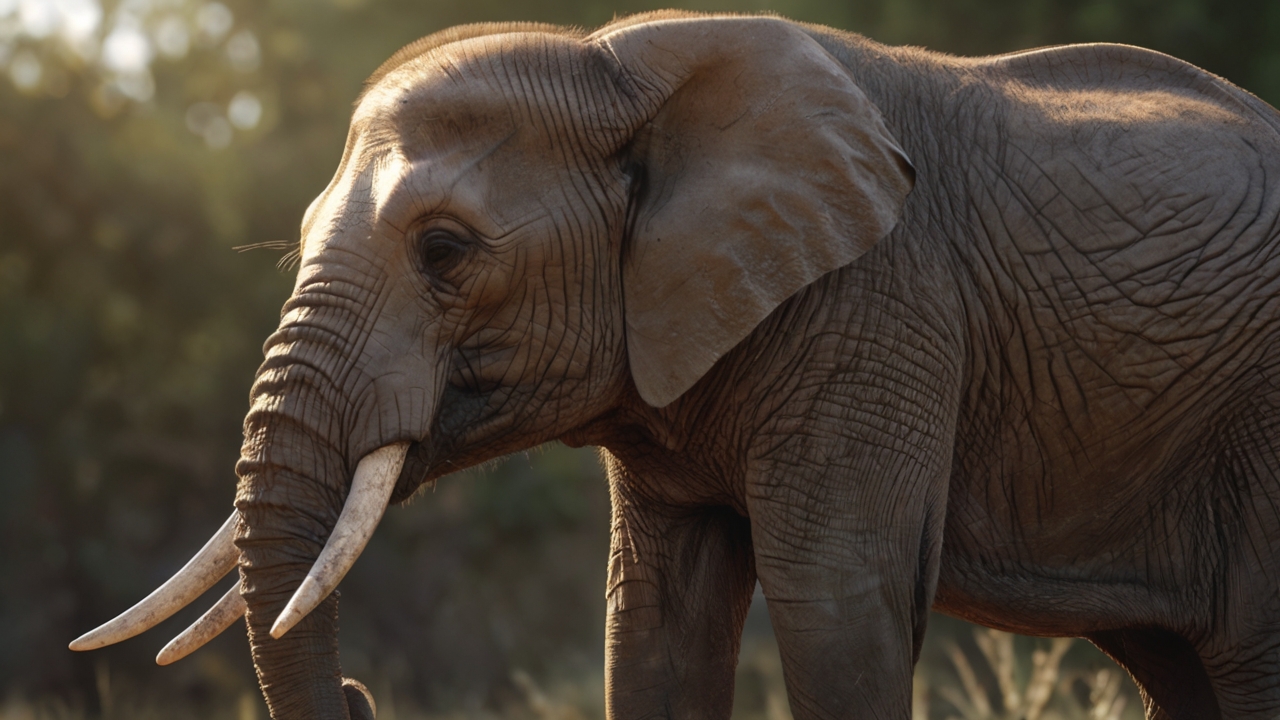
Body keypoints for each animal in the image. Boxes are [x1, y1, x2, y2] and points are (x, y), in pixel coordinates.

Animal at [72, 9, 1280, 717]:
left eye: (445, 251)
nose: (368, 691)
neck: (622, 67)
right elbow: (654, 625)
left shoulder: (880, 311)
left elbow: (837, 610)